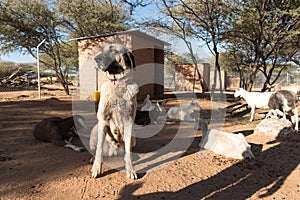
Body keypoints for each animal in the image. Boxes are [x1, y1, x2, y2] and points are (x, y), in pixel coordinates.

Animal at [91, 43, 139, 179]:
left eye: (113, 50)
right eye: (102, 49)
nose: (95, 59)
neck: (117, 84)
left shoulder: (128, 123)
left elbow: (128, 151)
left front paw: (130, 169)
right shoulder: (102, 121)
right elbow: (99, 150)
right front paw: (96, 168)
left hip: (133, 136)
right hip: (95, 130)